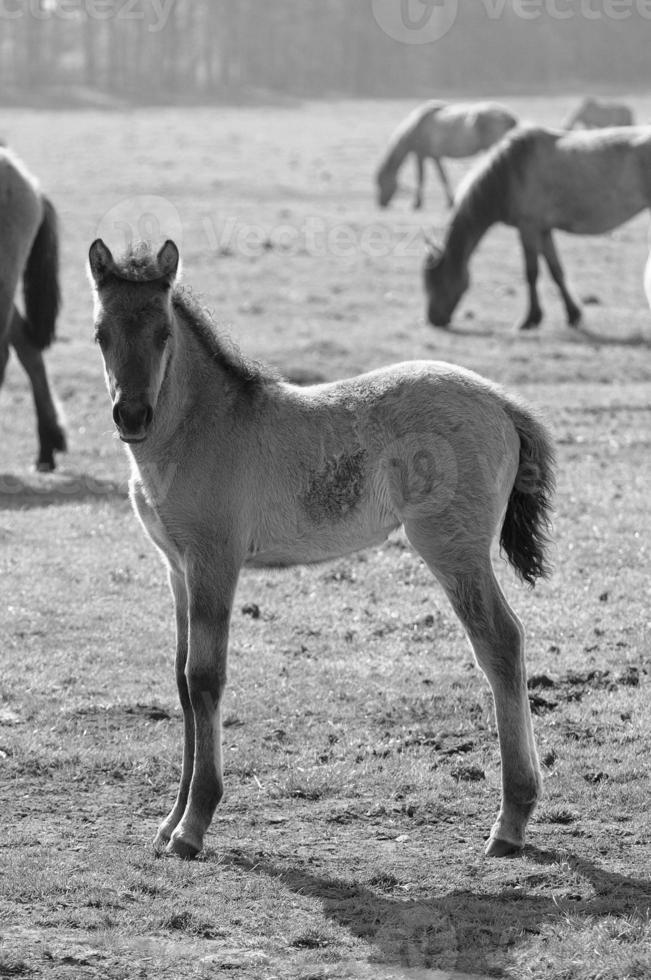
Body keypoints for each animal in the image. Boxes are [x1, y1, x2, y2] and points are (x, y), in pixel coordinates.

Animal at [86, 241, 556, 860]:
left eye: (163, 332)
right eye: (100, 333)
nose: (133, 415)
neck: (199, 428)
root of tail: (502, 402)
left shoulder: (215, 562)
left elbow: (206, 678)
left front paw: (192, 827)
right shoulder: (177, 568)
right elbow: (182, 683)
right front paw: (168, 823)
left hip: (452, 548)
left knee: (500, 642)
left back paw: (510, 822)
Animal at [376, 100, 520, 210]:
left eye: (381, 181)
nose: (381, 204)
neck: (416, 127)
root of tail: (509, 118)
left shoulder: (420, 155)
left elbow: (421, 178)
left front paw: (417, 203)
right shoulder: (436, 157)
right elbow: (443, 177)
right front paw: (451, 202)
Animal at [426, 124, 651, 332]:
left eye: (436, 281)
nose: (433, 320)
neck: (509, 173)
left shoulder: (528, 227)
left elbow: (531, 272)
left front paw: (530, 318)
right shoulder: (543, 230)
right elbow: (556, 271)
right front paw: (573, 315)